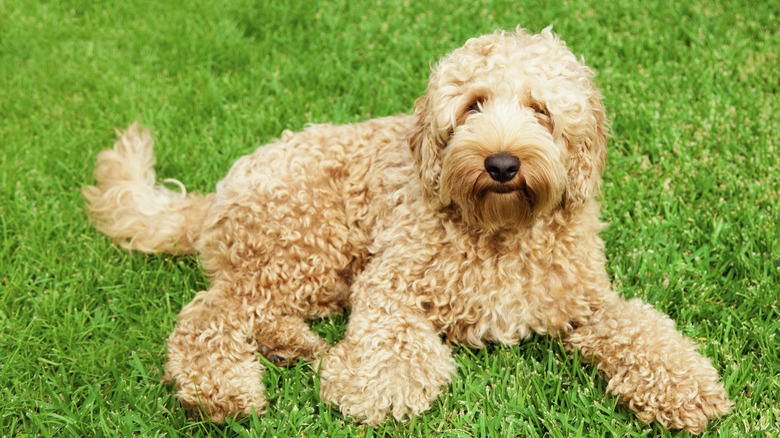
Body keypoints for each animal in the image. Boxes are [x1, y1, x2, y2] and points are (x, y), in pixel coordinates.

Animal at [84, 28, 732, 434]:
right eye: (473, 105)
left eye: (541, 110)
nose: (502, 163)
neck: (499, 230)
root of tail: (218, 192)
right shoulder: (391, 279)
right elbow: (392, 339)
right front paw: (378, 389)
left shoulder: (586, 302)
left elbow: (643, 330)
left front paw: (688, 390)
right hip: (306, 243)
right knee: (209, 315)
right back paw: (224, 393)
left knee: (250, 311)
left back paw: (294, 346)